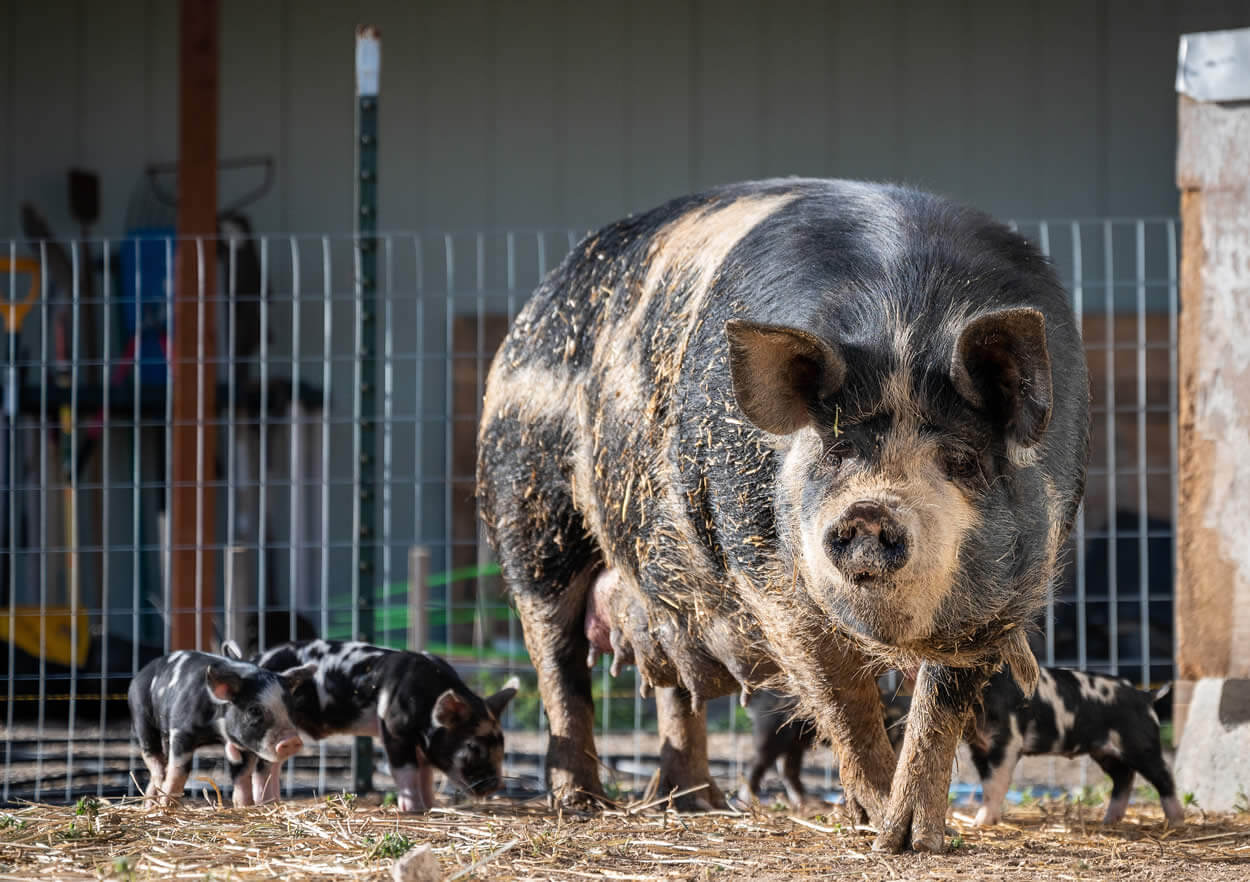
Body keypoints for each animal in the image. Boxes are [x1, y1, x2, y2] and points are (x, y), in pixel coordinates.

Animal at [475, 174, 1085, 849]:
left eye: (961, 459)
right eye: (837, 451)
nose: (869, 511)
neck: (903, 328)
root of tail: (532, 311)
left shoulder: (1006, 595)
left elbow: (937, 707)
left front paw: (914, 840)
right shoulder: (765, 572)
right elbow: (841, 696)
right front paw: (875, 824)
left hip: (653, 587)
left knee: (675, 682)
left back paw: (696, 805)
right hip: (525, 505)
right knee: (556, 659)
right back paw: (583, 804)